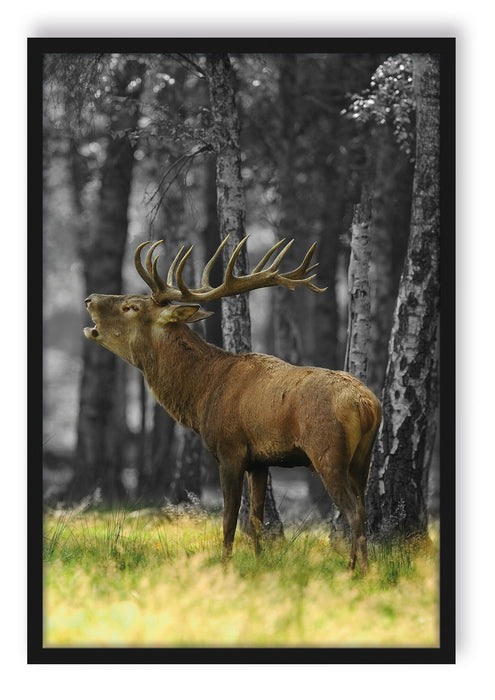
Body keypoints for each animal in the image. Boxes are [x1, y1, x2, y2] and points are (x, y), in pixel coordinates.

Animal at [83, 235, 382, 572]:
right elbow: (256, 519)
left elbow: (228, 520)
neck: (202, 394)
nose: (90, 298)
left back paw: (360, 571)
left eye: (131, 306)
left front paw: (225, 566)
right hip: (363, 458)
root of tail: (367, 405)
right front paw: (259, 563)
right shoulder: (261, 461)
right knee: (363, 507)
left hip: (328, 452)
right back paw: (354, 566)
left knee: (353, 511)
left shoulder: (229, 449)